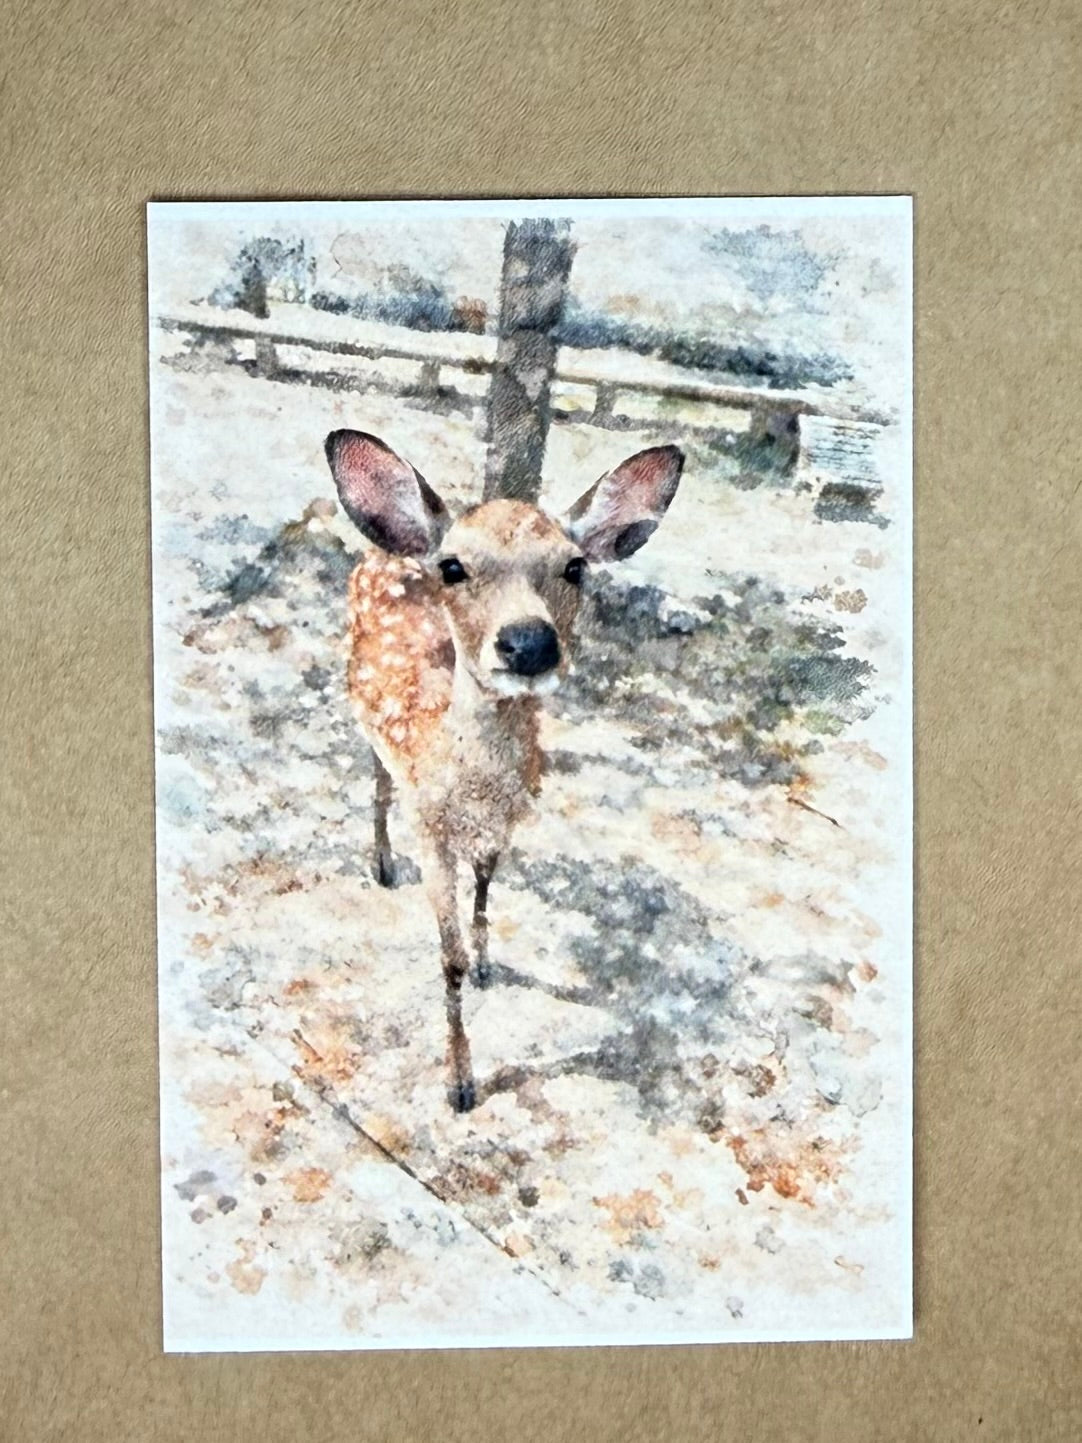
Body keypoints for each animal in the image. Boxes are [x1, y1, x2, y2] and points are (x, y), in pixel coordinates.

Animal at [324, 429, 684, 1113]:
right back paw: (381, 863)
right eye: (454, 567)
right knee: (377, 781)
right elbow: (448, 960)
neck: (474, 789)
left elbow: (488, 888)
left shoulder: (508, 821)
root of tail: (383, 551)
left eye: (574, 566)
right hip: (363, 711)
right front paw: (460, 1083)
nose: (529, 643)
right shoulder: (432, 831)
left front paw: (491, 962)